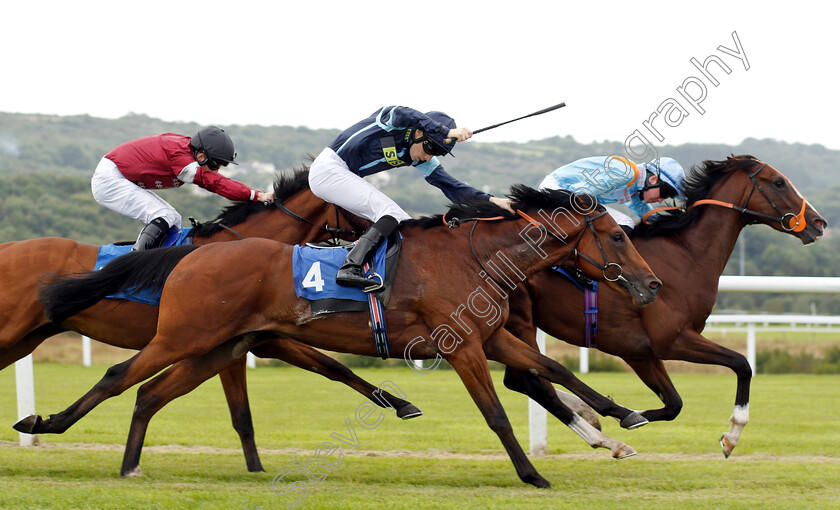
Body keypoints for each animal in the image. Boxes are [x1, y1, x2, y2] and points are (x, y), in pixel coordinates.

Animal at [0, 169, 424, 472]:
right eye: (355, 199)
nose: (398, 226)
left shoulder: (259, 337)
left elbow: (330, 370)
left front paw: (401, 403)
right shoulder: (251, 338)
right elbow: (255, 406)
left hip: (27, 336)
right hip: (13, 331)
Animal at [32, 187, 664, 486]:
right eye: (615, 237)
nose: (651, 284)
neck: (474, 257)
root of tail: (190, 255)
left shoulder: (488, 338)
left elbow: (552, 369)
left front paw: (622, 419)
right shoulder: (461, 346)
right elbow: (498, 415)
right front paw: (533, 474)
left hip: (220, 347)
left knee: (149, 393)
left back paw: (129, 463)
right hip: (185, 336)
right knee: (119, 376)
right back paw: (44, 423)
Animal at [502, 155, 824, 458]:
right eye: (779, 182)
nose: (819, 224)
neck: (686, 257)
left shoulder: (641, 351)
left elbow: (674, 404)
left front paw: (627, 414)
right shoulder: (671, 340)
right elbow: (741, 364)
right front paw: (731, 436)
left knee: (521, 380)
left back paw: (590, 415)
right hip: (520, 321)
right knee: (532, 381)